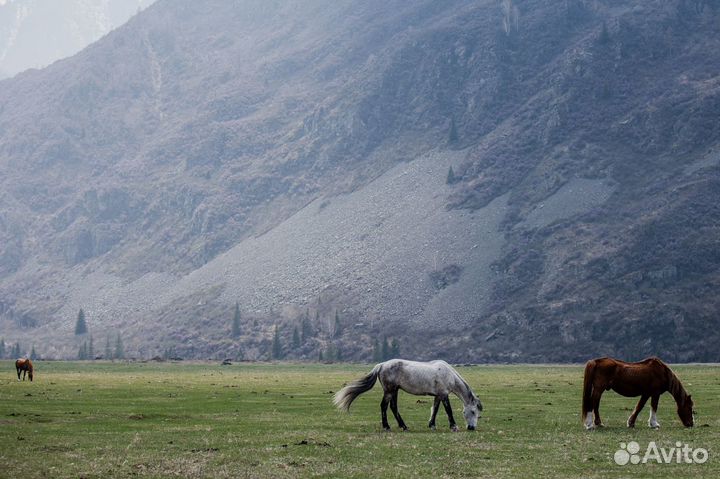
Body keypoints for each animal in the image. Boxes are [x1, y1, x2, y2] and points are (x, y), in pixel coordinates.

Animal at [334, 358, 480, 434]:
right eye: (473, 412)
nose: (471, 428)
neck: (448, 374)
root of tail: (381, 365)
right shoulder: (444, 395)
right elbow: (448, 411)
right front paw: (454, 427)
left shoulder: (438, 396)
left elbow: (435, 409)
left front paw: (432, 425)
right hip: (389, 391)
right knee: (384, 406)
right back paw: (387, 427)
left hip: (394, 391)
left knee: (393, 407)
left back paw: (403, 426)